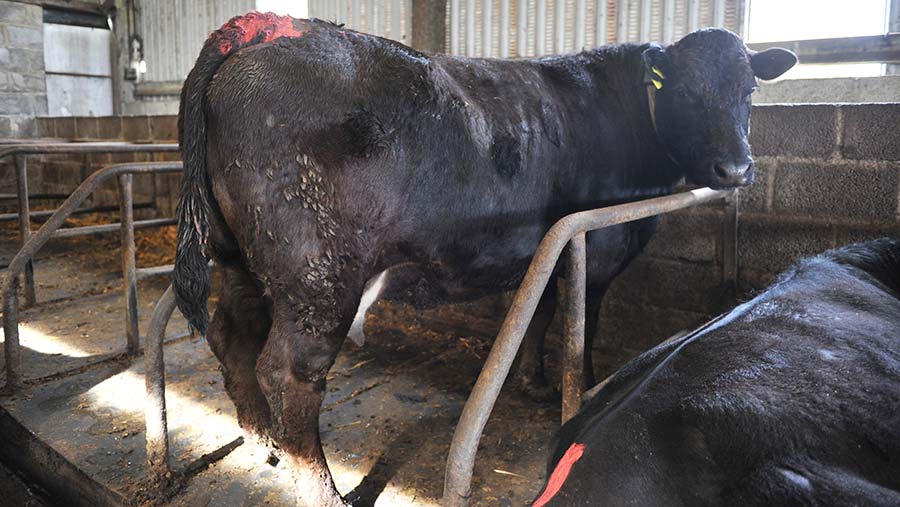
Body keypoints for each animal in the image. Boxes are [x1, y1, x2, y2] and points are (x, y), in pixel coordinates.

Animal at [174, 12, 796, 507]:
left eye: (749, 90)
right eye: (684, 91)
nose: (736, 170)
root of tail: (263, 31)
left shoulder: (547, 248)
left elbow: (540, 314)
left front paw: (533, 381)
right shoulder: (596, 250)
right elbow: (584, 325)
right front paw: (586, 387)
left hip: (239, 260)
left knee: (231, 336)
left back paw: (262, 440)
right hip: (317, 274)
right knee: (288, 372)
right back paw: (324, 491)